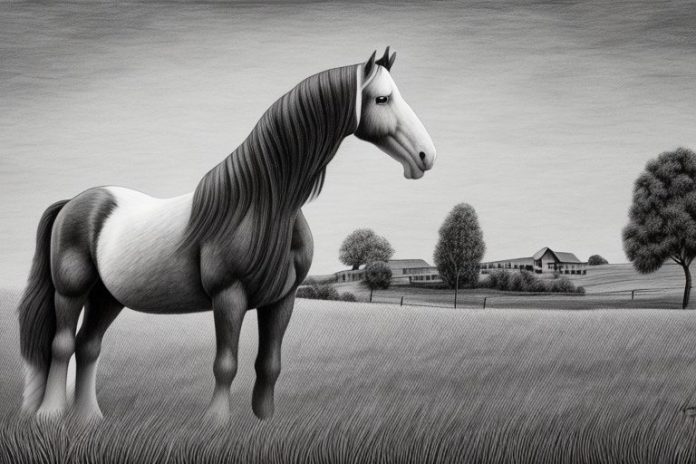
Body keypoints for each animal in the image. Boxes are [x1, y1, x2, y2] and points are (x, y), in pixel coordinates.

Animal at [17, 47, 436, 423]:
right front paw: (216, 423)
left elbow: (269, 364)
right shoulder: (228, 296)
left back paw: (90, 417)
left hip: (108, 298)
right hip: (71, 291)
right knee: (62, 345)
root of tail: (76, 202)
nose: (426, 156)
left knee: (88, 347)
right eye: (382, 98)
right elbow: (226, 363)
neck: (262, 206)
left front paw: (264, 420)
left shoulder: (282, 300)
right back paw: (50, 414)